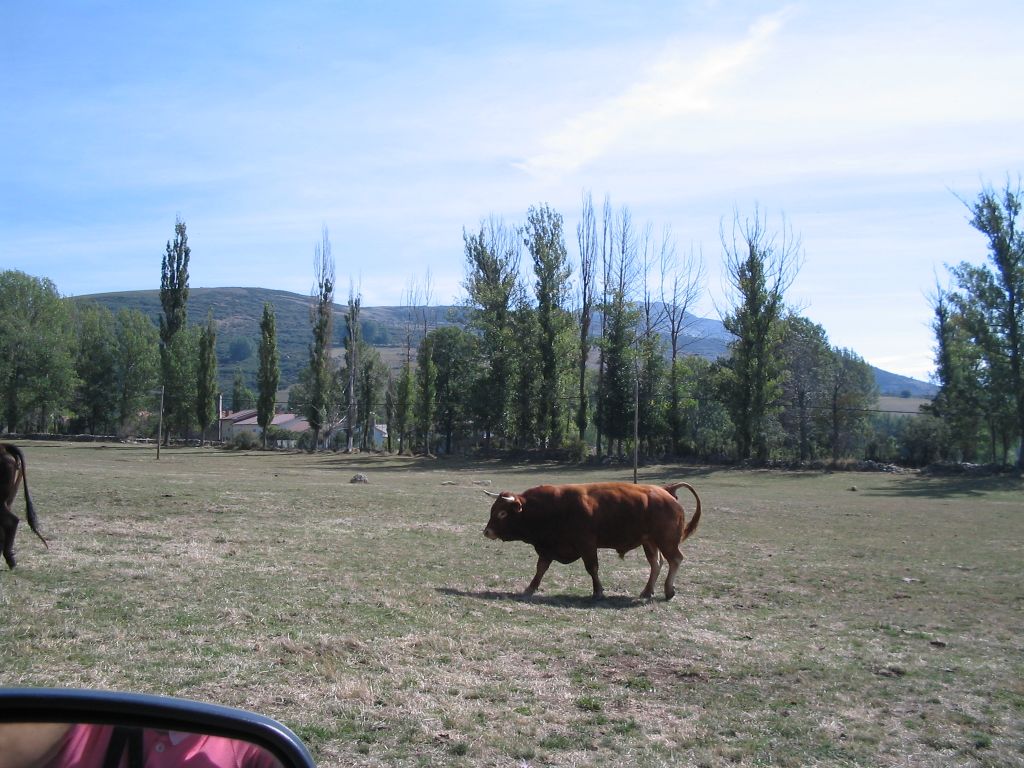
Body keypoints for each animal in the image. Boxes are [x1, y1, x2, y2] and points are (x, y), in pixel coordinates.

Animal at [483, 481, 701, 600]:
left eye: (502, 513)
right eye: (493, 509)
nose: (487, 531)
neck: (553, 507)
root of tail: (666, 490)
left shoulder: (587, 545)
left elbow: (592, 568)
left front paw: (598, 591)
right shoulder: (547, 547)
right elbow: (541, 568)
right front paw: (530, 588)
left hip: (666, 542)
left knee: (675, 560)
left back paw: (669, 590)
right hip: (649, 543)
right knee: (656, 564)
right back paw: (647, 591)